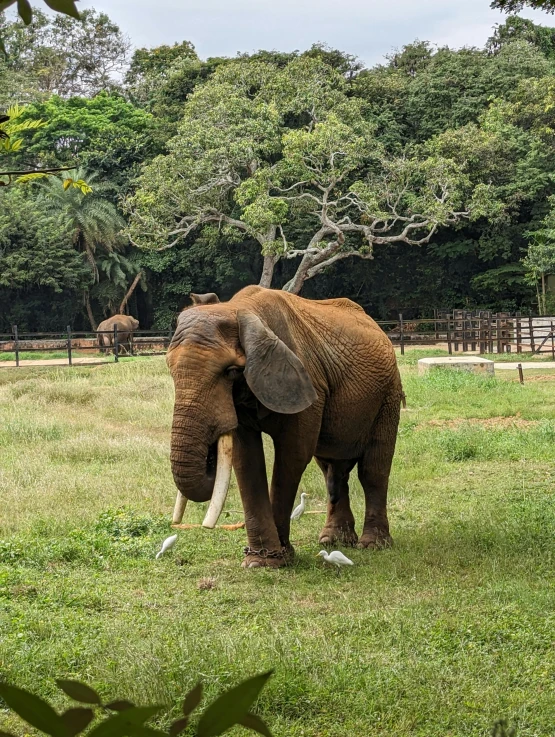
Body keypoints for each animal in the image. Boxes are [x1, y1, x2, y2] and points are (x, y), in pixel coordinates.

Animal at [166, 284, 404, 568]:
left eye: (231, 371)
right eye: (170, 370)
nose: (210, 457)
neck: (241, 308)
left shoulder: (308, 384)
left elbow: (293, 454)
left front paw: (276, 560)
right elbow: (245, 459)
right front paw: (259, 562)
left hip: (388, 394)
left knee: (373, 469)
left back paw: (373, 545)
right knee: (331, 469)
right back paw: (333, 541)